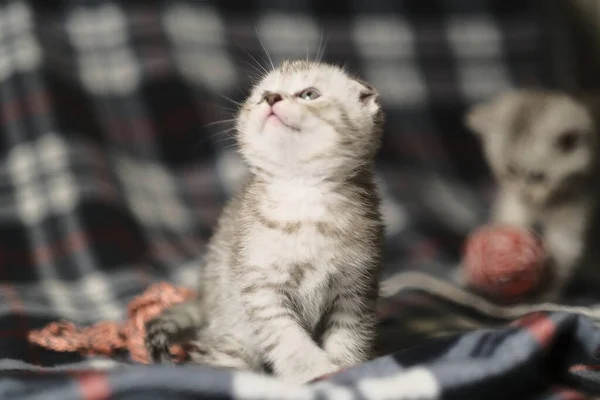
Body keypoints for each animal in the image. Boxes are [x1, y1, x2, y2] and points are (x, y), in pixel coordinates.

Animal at [148, 59, 386, 382]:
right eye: (263, 95)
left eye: (309, 94)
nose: (272, 99)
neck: (303, 198)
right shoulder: (262, 289)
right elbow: (287, 338)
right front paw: (313, 370)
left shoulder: (356, 289)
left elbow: (349, 336)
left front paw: (346, 366)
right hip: (233, 338)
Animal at [466, 88, 600, 300]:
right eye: (510, 171)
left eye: (537, 177)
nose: (524, 193)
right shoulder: (513, 202)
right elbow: (512, 221)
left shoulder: (576, 213)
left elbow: (563, 252)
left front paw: (545, 295)